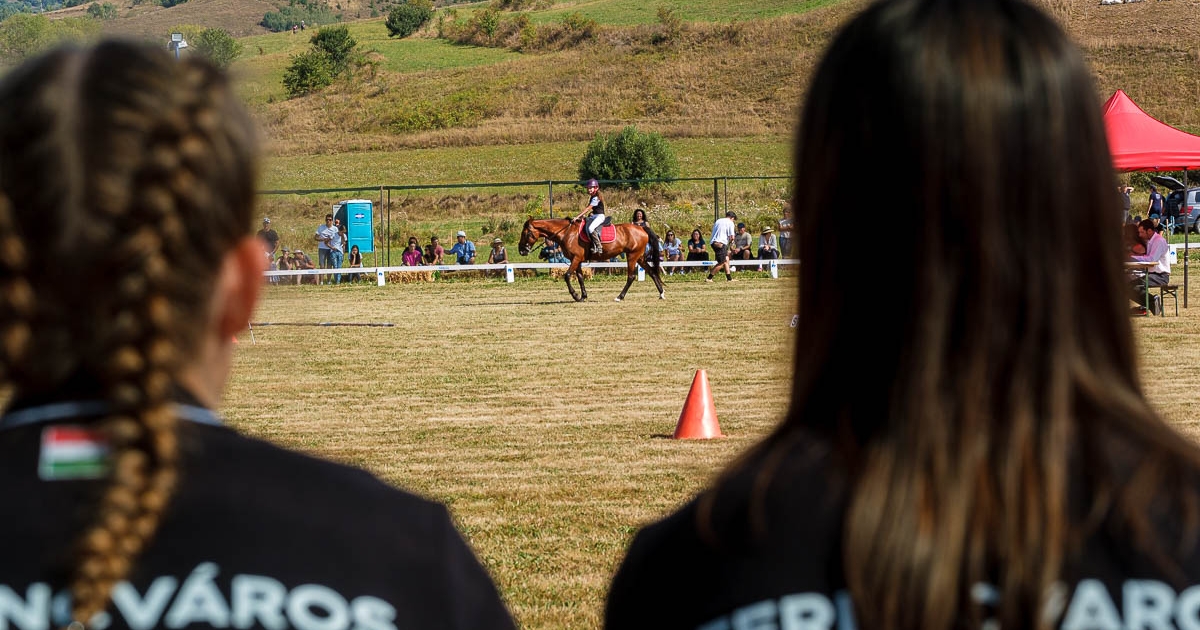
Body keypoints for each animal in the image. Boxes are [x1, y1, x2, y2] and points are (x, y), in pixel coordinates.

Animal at [516, 216, 667, 302]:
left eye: (525, 233)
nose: (521, 250)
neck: (566, 232)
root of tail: (641, 228)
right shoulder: (577, 260)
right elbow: (580, 277)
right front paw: (583, 296)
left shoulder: (575, 258)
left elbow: (567, 275)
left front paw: (575, 295)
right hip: (639, 257)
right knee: (652, 272)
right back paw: (661, 293)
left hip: (632, 256)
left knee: (631, 276)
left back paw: (620, 296)